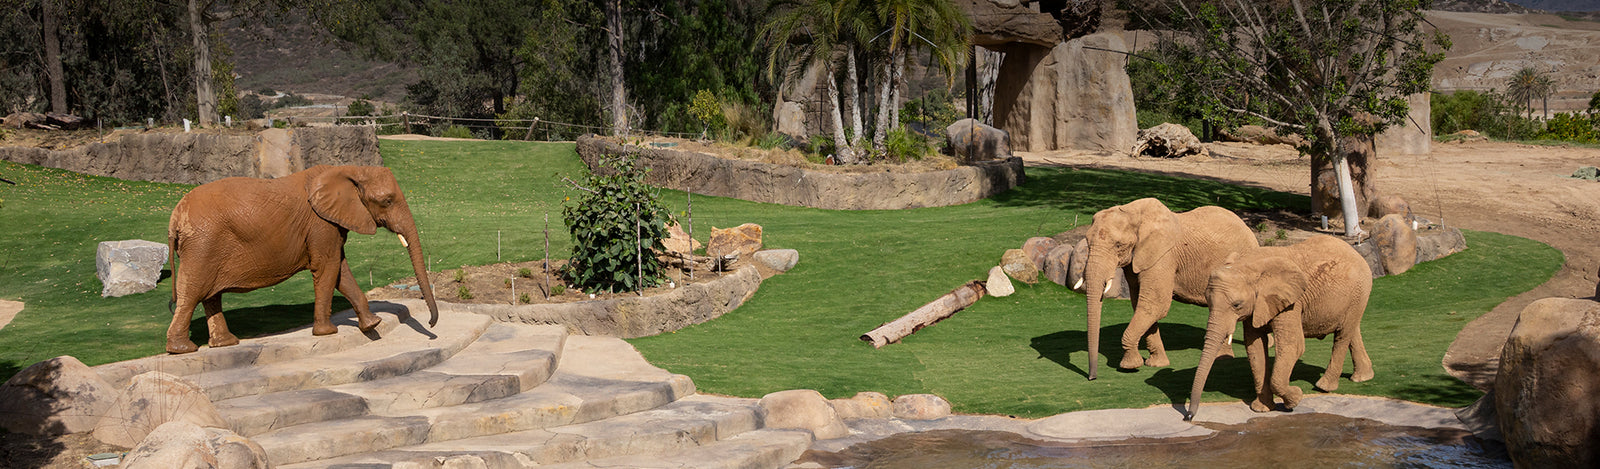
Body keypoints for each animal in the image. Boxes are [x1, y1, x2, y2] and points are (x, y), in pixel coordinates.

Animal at [164, 165, 440, 354]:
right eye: (387, 201)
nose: (432, 325)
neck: (349, 169)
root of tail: (174, 218)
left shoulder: (330, 224)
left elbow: (340, 271)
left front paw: (373, 324)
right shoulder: (320, 224)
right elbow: (328, 267)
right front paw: (328, 332)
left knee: (210, 295)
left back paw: (226, 343)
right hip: (202, 244)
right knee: (193, 292)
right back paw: (183, 349)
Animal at [1081, 198, 1258, 380]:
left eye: (1118, 245)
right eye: (1087, 242)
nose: (1092, 377)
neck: (1133, 212)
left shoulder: (1163, 257)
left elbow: (1155, 304)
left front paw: (1130, 366)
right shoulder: (1137, 261)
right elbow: (1141, 304)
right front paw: (1156, 364)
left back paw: (1223, 359)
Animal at [1186, 234, 1374, 421]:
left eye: (1237, 305)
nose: (1188, 416)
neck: (1248, 265)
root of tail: (1357, 253)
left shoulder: (1291, 302)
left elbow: (1293, 346)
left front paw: (1295, 398)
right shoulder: (1257, 303)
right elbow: (1254, 347)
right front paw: (1261, 409)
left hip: (1359, 290)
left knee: (1342, 336)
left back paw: (1324, 387)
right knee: (1352, 331)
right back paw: (1362, 377)